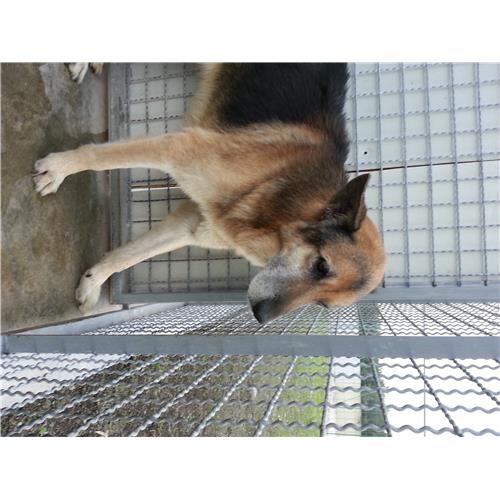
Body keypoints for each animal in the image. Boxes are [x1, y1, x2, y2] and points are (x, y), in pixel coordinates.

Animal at [33, 63, 386, 324]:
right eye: (322, 266)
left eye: (323, 305)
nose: (260, 316)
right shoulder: (177, 150)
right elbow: (97, 156)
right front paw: (59, 168)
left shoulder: (192, 224)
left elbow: (125, 257)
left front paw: (92, 281)